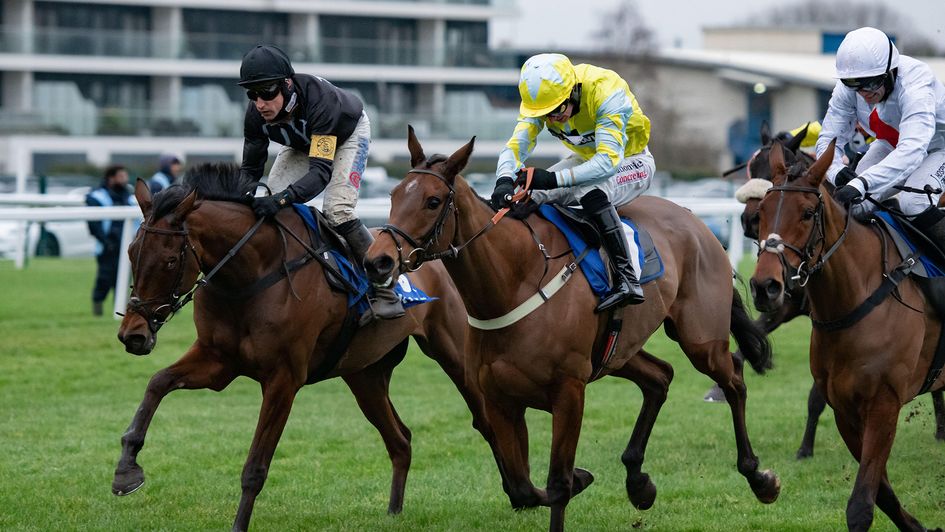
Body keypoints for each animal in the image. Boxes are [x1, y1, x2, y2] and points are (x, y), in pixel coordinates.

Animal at [112, 164, 502, 528]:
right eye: (131, 252)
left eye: (170, 261)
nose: (133, 334)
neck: (251, 275)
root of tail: (432, 253)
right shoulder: (217, 360)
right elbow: (158, 383)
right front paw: (126, 469)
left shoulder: (283, 378)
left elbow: (255, 467)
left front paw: (239, 524)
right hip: (364, 375)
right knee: (401, 439)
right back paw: (394, 511)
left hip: (454, 354)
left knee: (486, 419)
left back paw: (514, 494)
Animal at [362, 130, 780, 532]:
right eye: (393, 195)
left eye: (433, 201)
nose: (377, 260)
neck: (515, 283)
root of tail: (696, 222)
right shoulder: (499, 398)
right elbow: (523, 485)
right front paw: (585, 478)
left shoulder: (569, 393)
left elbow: (557, 483)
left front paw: (575, 480)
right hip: (619, 352)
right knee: (660, 377)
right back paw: (638, 483)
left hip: (700, 339)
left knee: (734, 381)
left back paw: (759, 478)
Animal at [748, 139, 940, 528]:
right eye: (762, 212)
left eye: (808, 213)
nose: (765, 287)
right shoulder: (845, 409)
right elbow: (882, 493)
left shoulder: (884, 404)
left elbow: (862, 504)